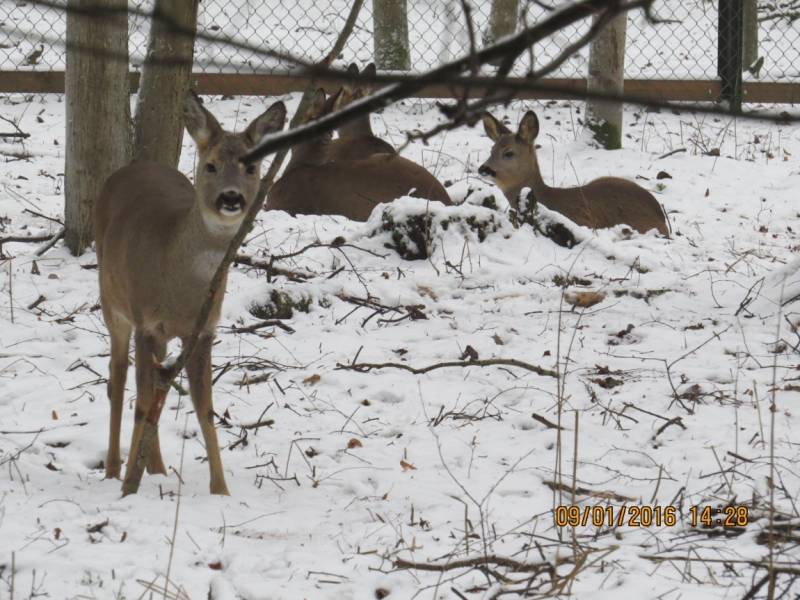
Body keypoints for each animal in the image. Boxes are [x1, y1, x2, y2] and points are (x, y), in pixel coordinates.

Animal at [94, 91, 288, 494]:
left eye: (252, 168)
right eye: (211, 166)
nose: (231, 198)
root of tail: (131, 167)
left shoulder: (203, 330)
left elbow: (204, 408)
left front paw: (221, 489)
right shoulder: (146, 322)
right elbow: (142, 401)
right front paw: (128, 487)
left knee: (155, 387)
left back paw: (156, 469)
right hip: (113, 302)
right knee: (117, 378)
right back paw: (115, 469)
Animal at [478, 111, 672, 236]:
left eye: (508, 153)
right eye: (491, 150)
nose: (483, 169)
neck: (547, 198)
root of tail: (662, 217)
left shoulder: (582, 221)